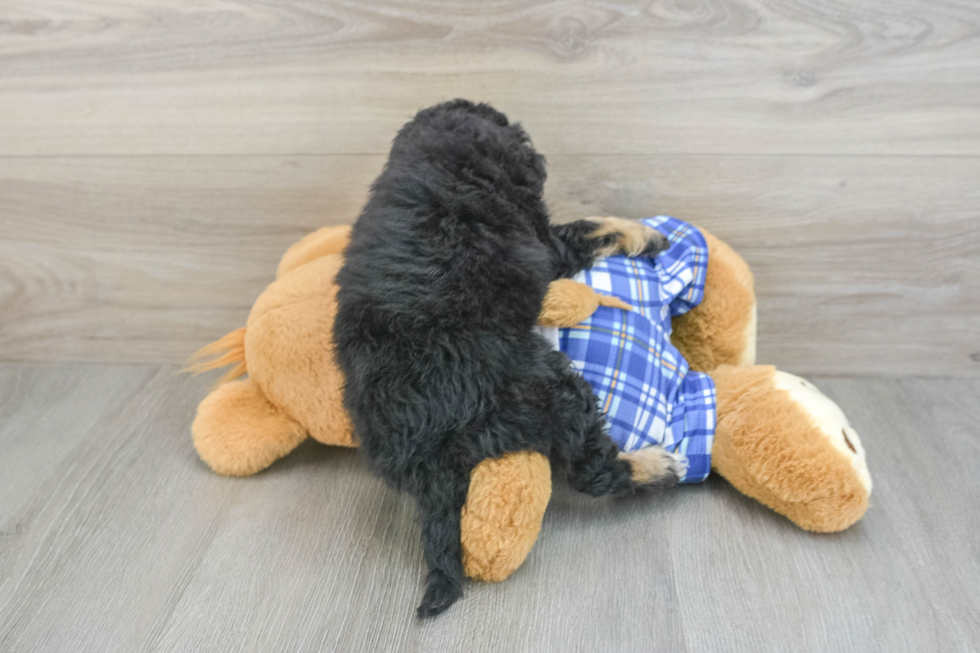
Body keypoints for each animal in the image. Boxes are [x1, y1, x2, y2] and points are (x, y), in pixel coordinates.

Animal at [334, 98, 684, 616]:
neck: (443, 161)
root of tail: (425, 450)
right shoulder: (549, 244)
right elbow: (589, 226)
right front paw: (646, 233)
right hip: (553, 389)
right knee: (592, 471)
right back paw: (658, 465)